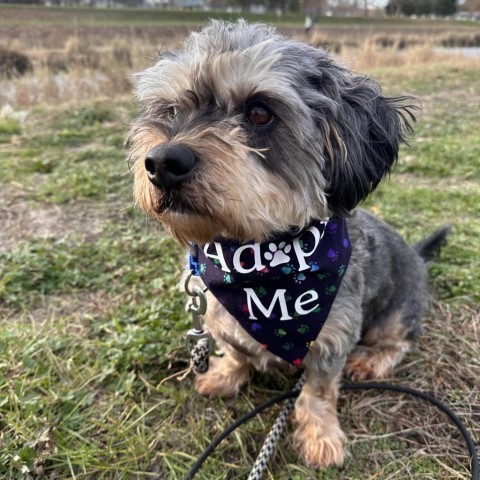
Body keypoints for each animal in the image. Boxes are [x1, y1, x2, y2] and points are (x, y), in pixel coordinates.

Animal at [128, 21, 450, 468]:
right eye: (172, 110)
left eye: (259, 112)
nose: (161, 163)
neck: (255, 256)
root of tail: (418, 258)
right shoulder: (220, 318)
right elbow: (237, 351)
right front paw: (226, 375)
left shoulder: (333, 339)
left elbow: (318, 390)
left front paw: (320, 436)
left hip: (398, 310)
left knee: (399, 340)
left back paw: (371, 359)